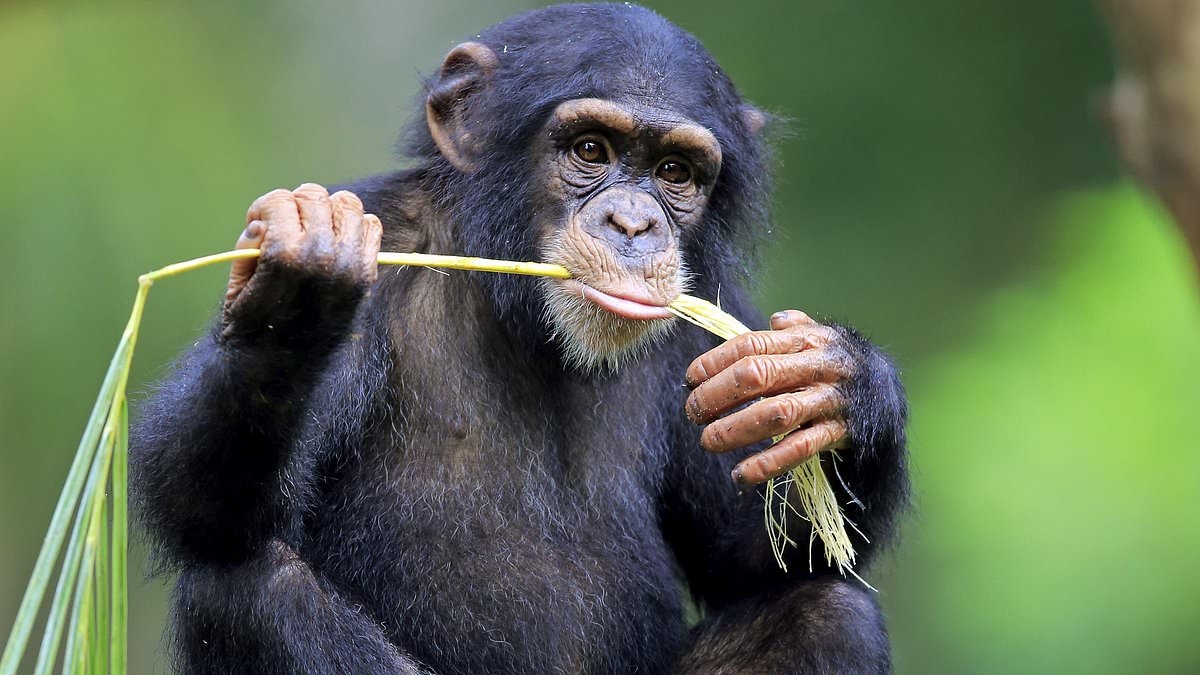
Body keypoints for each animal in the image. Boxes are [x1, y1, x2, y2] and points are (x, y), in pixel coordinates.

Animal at [126, 2, 902, 667]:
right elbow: (201, 508)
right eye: (590, 149)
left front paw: (838, 382)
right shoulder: (385, 233)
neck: (521, 311)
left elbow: (760, 555)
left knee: (826, 610)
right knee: (246, 589)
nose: (634, 224)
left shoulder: (711, 310)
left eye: (675, 171)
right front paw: (297, 290)